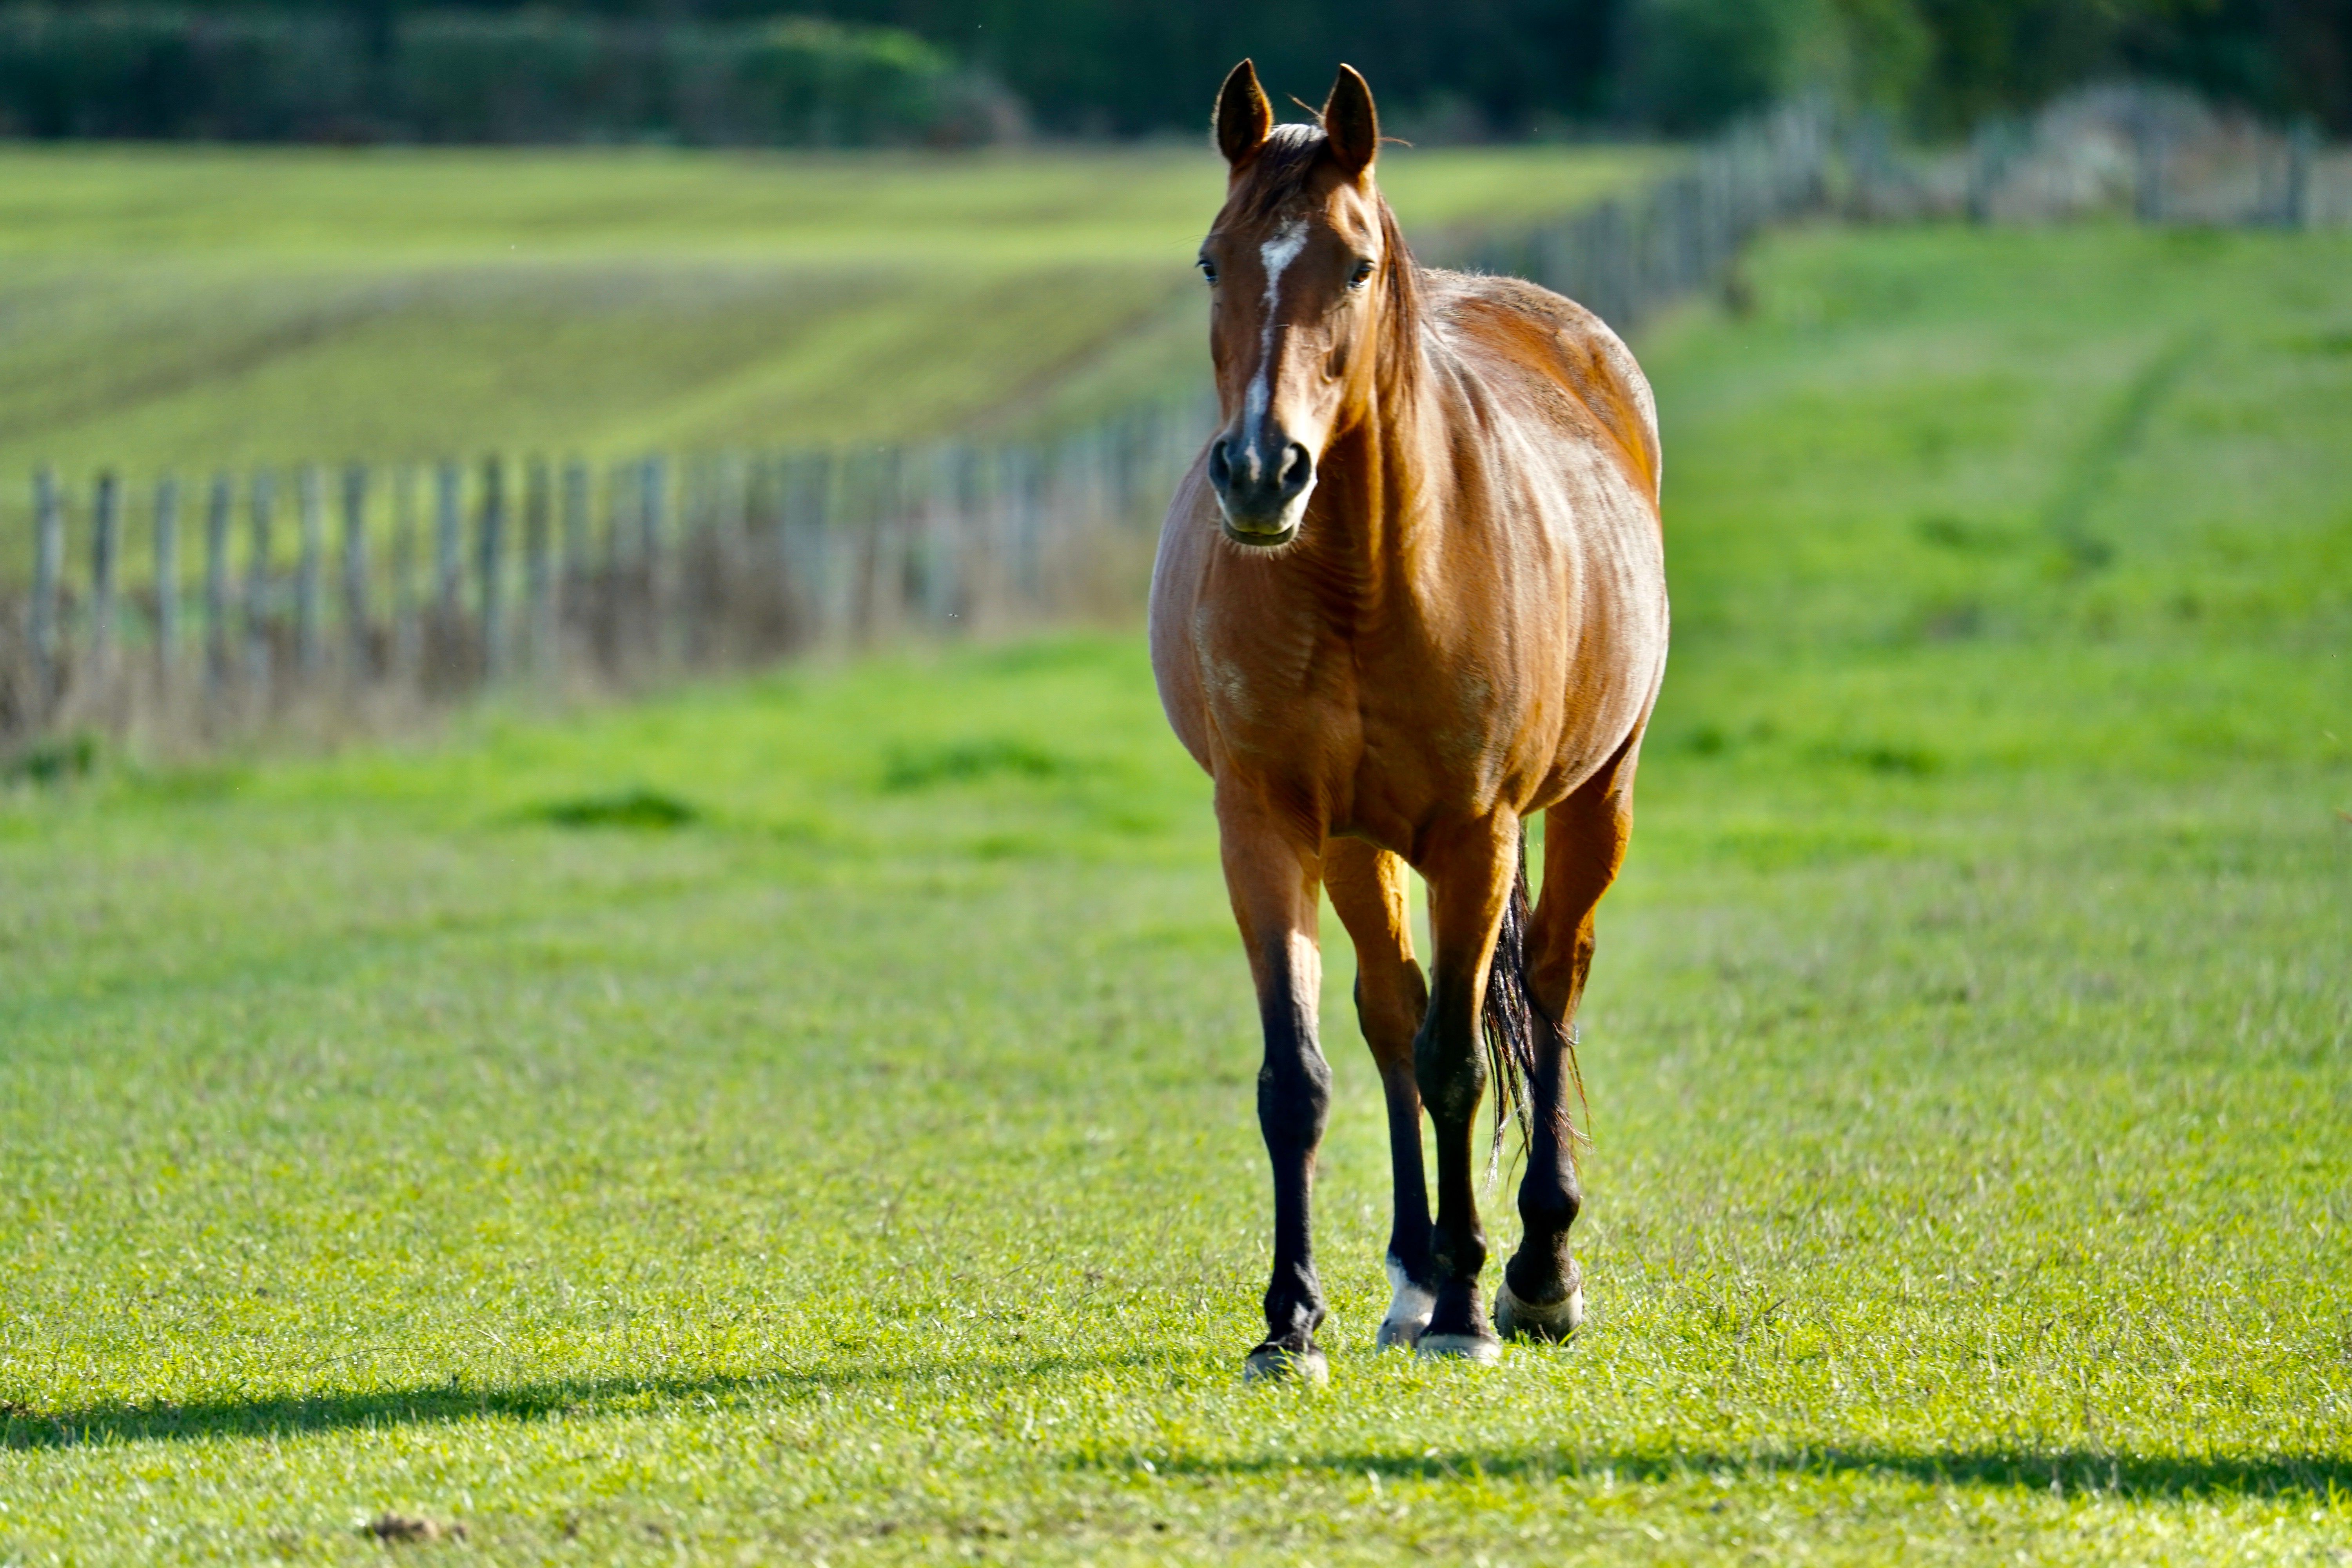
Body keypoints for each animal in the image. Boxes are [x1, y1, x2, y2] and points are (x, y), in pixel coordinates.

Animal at [1148, 60, 1670, 1381]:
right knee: (1389, 1013)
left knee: (1550, 984)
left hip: (1595, 798)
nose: (1260, 472)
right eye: (1214, 261)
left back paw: (1534, 1270)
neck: (1360, 579)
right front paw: (1291, 1318)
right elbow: (1302, 1073)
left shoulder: (1475, 834)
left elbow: (1458, 1059)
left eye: (1355, 266)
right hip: (1353, 844)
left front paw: (1474, 1308)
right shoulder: (1268, 826)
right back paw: (1410, 1275)